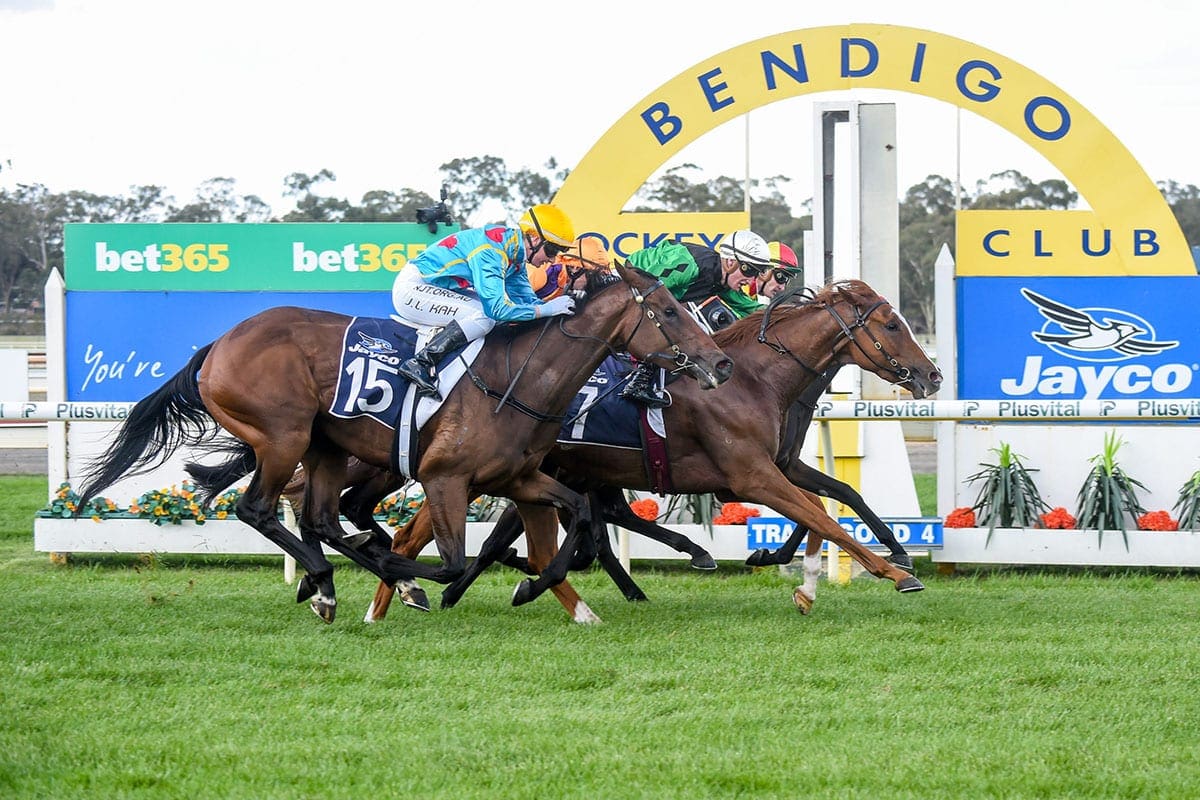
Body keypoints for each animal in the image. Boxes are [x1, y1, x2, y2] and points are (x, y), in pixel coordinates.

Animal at [79, 266, 729, 623]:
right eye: (669, 310)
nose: (719, 363)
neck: (518, 382)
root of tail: (219, 343)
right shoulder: (445, 478)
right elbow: (455, 560)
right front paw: (412, 575)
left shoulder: (519, 477)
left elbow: (579, 525)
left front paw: (530, 584)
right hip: (283, 436)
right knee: (260, 508)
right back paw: (333, 578)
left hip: (323, 446)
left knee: (320, 514)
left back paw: (329, 581)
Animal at [360, 278, 940, 623]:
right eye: (892, 324)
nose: (932, 376)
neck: (754, 378)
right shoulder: (751, 475)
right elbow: (822, 515)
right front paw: (896, 573)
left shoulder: (779, 464)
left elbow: (834, 499)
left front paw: (813, 579)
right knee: (430, 533)